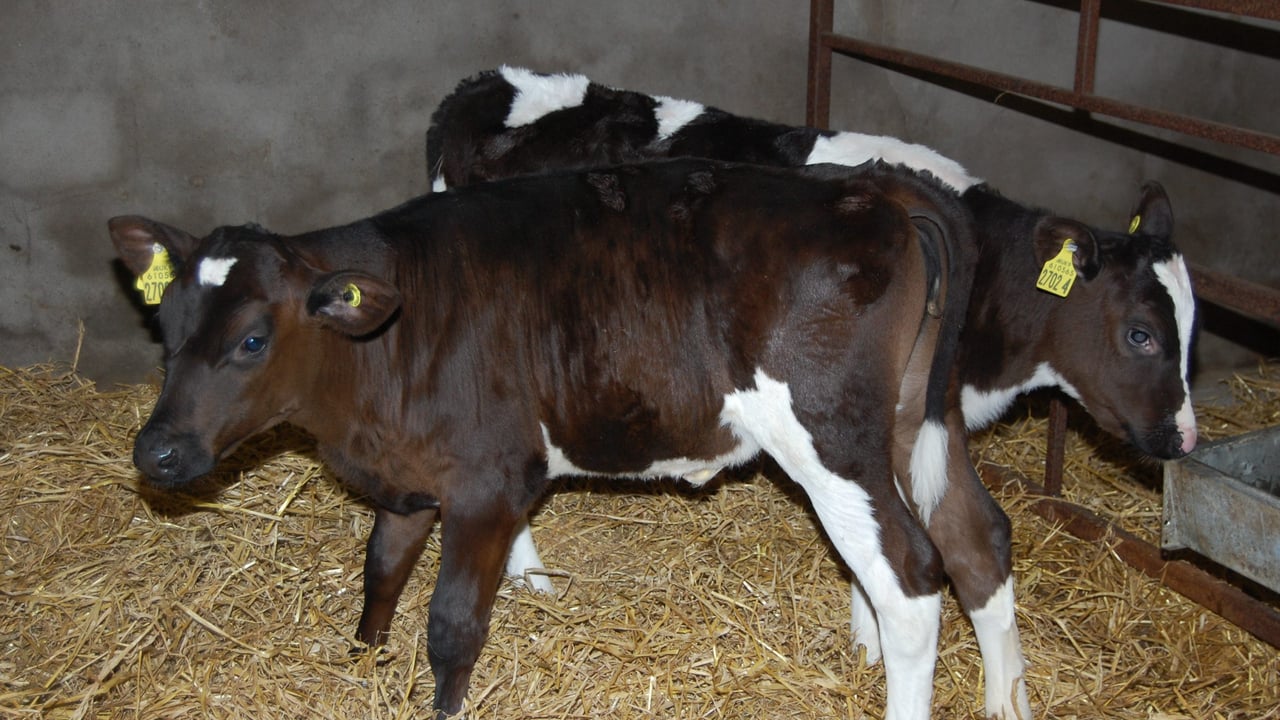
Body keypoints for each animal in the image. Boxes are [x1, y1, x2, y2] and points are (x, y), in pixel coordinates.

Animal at [111, 159, 992, 719]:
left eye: (253, 340)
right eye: (168, 324)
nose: (156, 451)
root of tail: (863, 185)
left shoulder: (489, 481)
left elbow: (453, 624)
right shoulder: (409, 477)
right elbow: (380, 574)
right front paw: (361, 666)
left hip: (828, 432)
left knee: (911, 575)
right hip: (910, 421)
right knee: (969, 538)